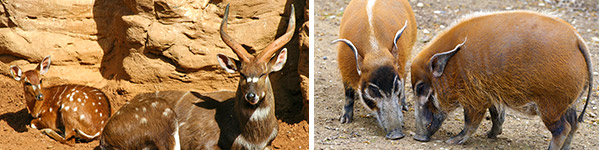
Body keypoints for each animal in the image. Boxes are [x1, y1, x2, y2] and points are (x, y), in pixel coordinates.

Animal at [98, 3, 296, 150]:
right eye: (242, 74)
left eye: (264, 73)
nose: (251, 96)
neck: (252, 138)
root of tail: (105, 136)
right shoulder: (204, 144)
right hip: (165, 121)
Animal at [330, 0, 414, 139]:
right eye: (373, 90)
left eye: (396, 85)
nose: (396, 134)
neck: (375, 52)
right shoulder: (344, 68)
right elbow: (348, 92)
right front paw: (345, 120)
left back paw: (404, 106)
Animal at [410, 10, 592, 150]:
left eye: (421, 88)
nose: (418, 138)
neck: (455, 65)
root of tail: (577, 39)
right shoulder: (491, 95)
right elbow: (496, 115)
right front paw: (490, 135)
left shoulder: (474, 99)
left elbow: (471, 121)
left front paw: (452, 141)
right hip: (568, 104)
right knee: (574, 124)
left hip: (551, 105)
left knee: (563, 129)